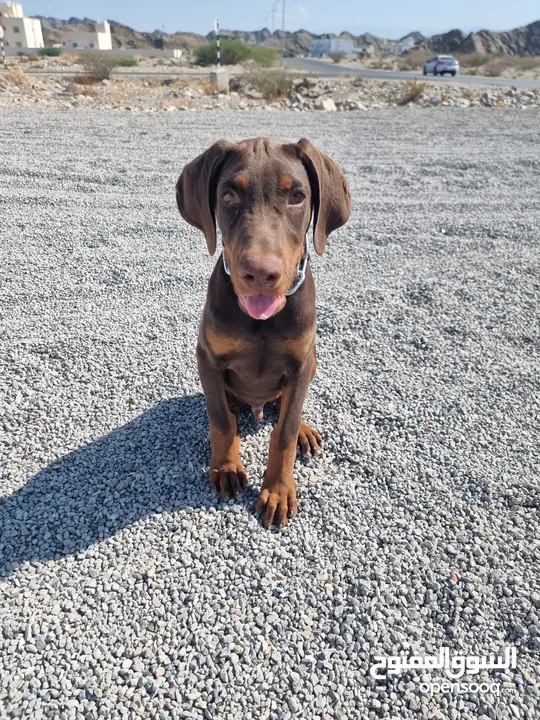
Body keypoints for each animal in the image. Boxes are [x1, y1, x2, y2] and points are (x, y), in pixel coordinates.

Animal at [176, 138, 350, 524]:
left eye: (297, 196)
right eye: (228, 195)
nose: (259, 273)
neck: (261, 320)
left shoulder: (301, 364)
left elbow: (284, 431)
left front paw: (278, 490)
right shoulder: (207, 357)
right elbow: (220, 420)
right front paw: (226, 468)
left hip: (313, 362)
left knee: (287, 407)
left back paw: (304, 431)